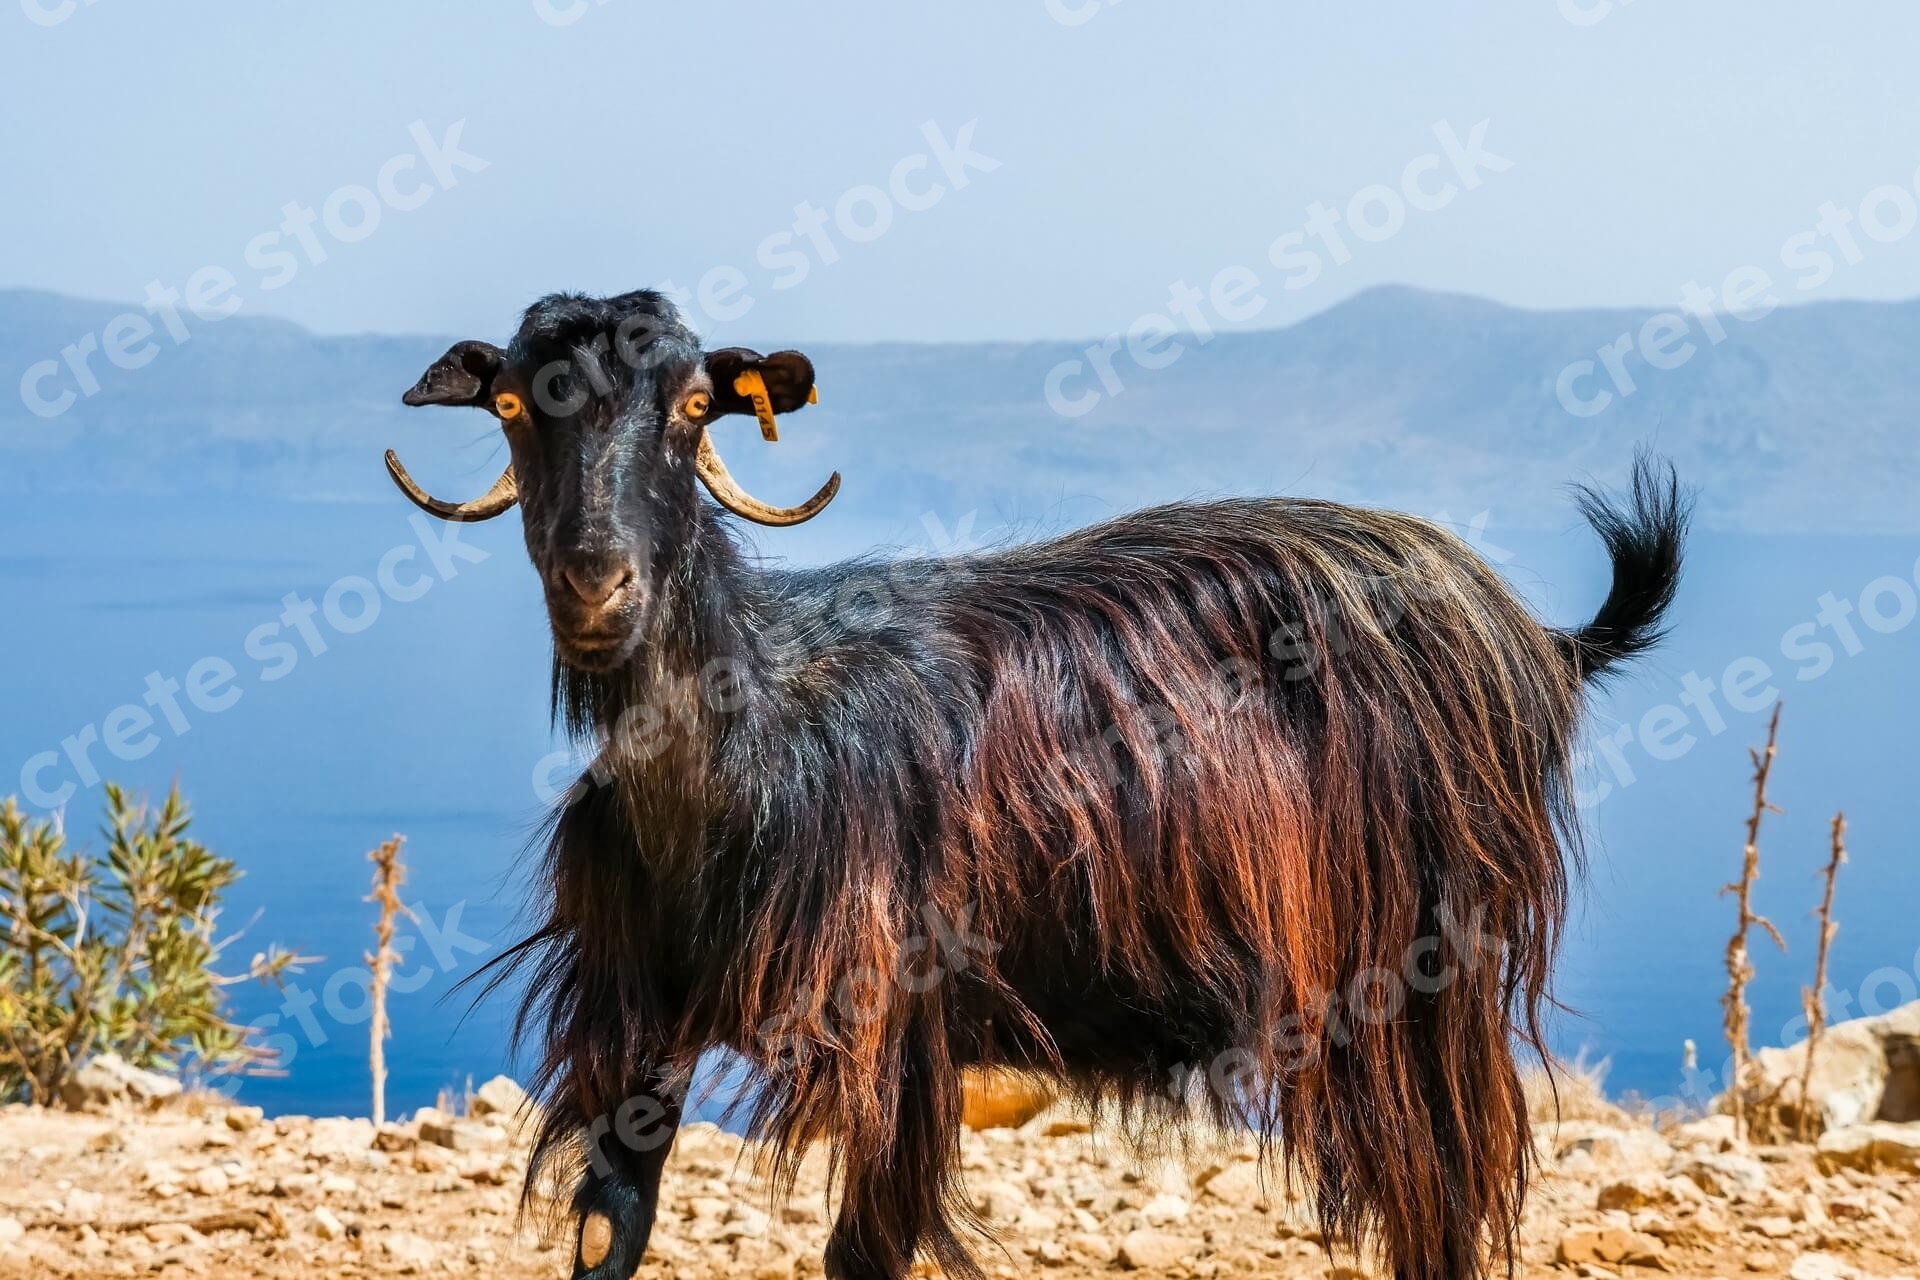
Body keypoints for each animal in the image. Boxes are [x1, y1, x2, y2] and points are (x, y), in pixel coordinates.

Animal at [397, 289, 1689, 1280]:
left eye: (693, 405)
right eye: (512, 406)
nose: (598, 584)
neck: (756, 724)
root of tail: (1535, 632)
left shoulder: (897, 1021)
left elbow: (863, 1248)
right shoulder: (637, 1016)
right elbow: (610, 1229)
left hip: (1422, 970)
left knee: (1439, 1200)